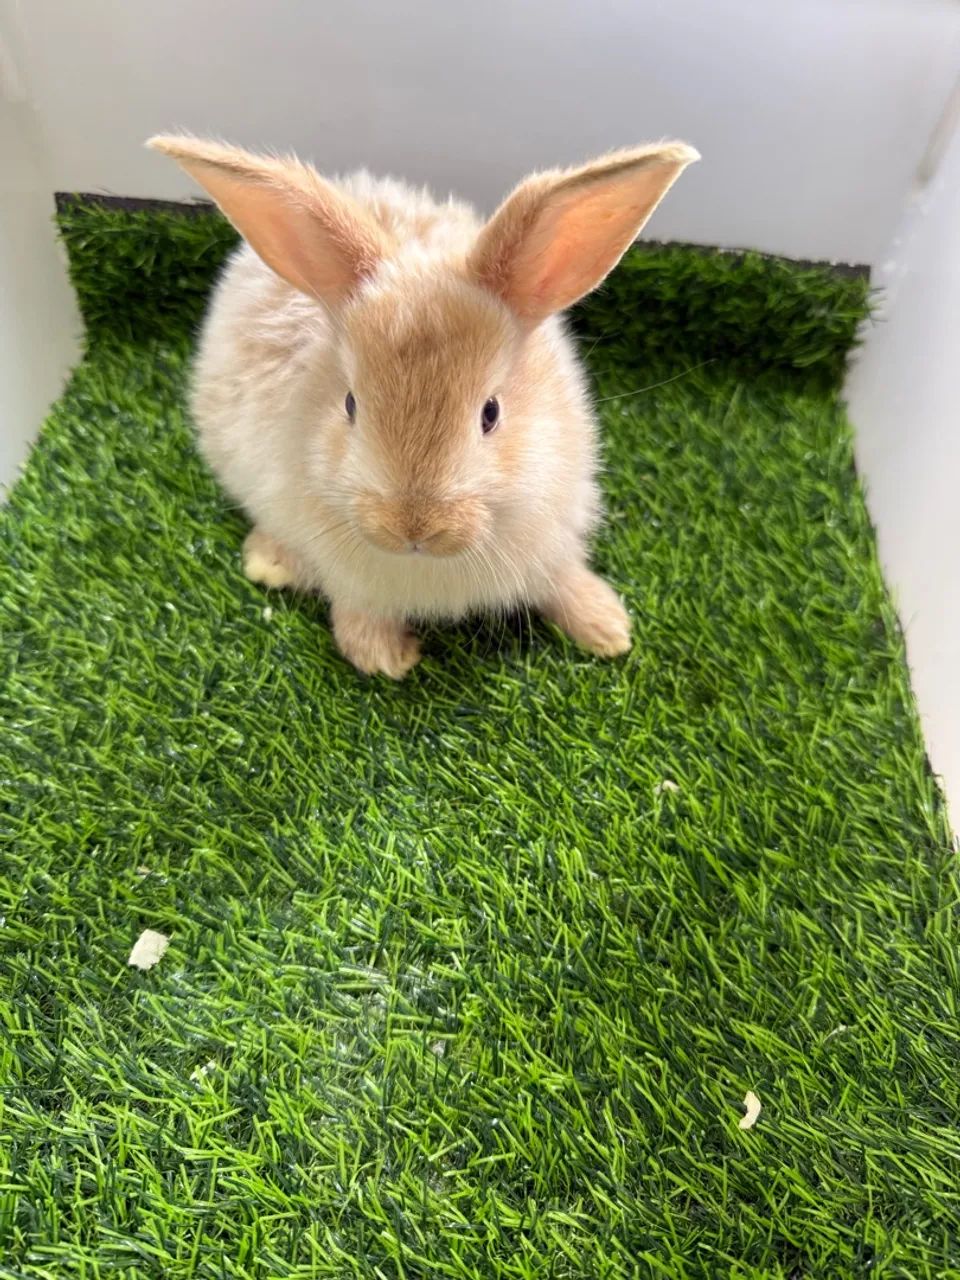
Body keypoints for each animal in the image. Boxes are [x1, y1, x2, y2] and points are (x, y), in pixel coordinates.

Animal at [147, 135, 698, 677]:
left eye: (491, 413)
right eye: (350, 405)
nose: (413, 528)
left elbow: (564, 580)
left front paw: (609, 630)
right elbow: (357, 612)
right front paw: (385, 658)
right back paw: (270, 563)